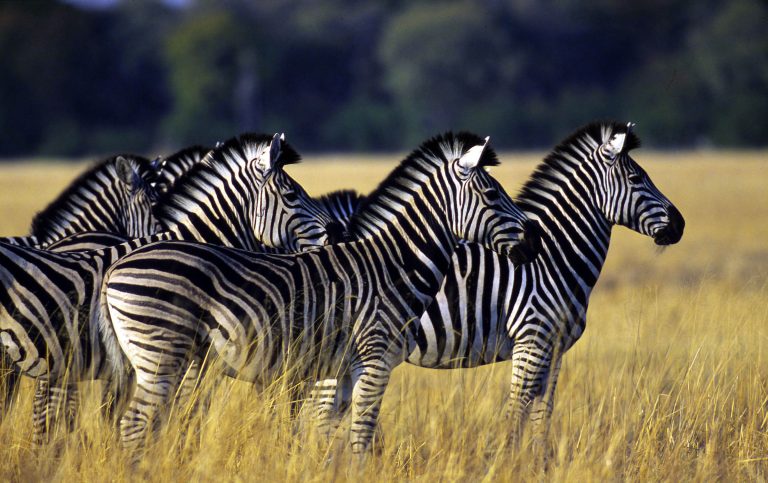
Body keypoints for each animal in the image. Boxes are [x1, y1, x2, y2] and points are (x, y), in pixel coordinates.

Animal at [99, 132, 536, 458]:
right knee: (134, 425)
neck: (393, 266)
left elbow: (326, 433)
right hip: (161, 355)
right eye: (493, 196)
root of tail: (115, 269)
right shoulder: (375, 359)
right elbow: (360, 438)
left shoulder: (343, 370)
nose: (534, 241)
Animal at [304, 121, 684, 458]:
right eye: (636, 178)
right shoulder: (532, 341)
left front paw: (540, 462)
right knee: (320, 415)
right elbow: (516, 412)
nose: (680, 225)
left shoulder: (555, 349)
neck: (554, 258)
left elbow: (542, 415)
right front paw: (511, 462)